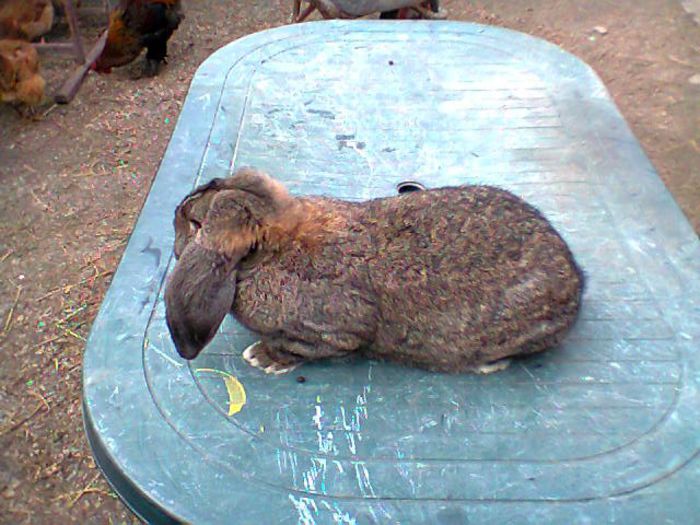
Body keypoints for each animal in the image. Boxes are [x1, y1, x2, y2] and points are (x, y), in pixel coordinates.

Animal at [165, 166, 584, 374]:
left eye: (196, 223)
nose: (176, 215)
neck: (274, 249)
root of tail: (577, 282)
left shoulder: (333, 333)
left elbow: (301, 347)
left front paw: (263, 358)